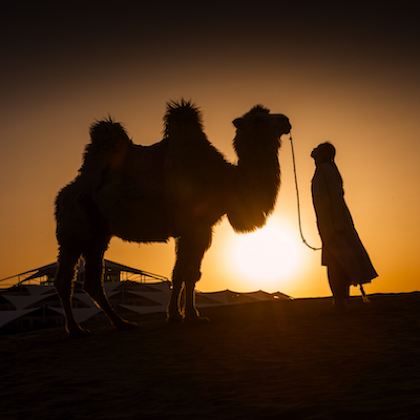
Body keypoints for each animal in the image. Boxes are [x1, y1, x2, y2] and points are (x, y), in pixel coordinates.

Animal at [54, 100, 290, 336]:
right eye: (258, 120)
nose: (286, 120)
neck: (224, 180)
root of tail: (64, 195)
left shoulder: (193, 230)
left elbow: (180, 273)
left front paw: (176, 315)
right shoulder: (197, 227)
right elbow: (190, 273)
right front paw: (193, 316)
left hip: (98, 235)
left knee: (92, 281)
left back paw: (122, 322)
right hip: (73, 233)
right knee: (66, 279)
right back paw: (75, 329)